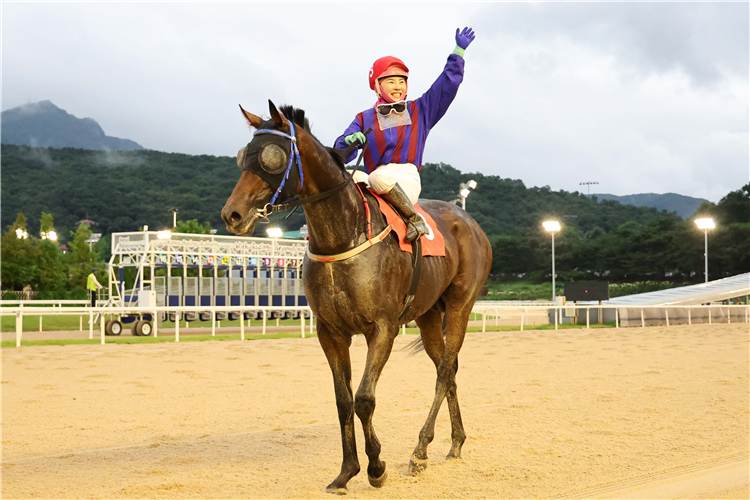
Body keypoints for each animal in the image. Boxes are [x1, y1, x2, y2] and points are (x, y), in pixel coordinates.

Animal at [220, 99, 496, 494]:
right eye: (244, 155)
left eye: (273, 157)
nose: (233, 214)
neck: (342, 236)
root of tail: (468, 221)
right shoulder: (330, 332)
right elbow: (343, 400)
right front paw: (346, 471)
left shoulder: (382, 328)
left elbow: (364, 399)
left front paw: (376, 467)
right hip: (429, 314)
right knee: (449, 368)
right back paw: (454, 442)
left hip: (460, 305)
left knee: (444, 371)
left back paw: (419, 452)